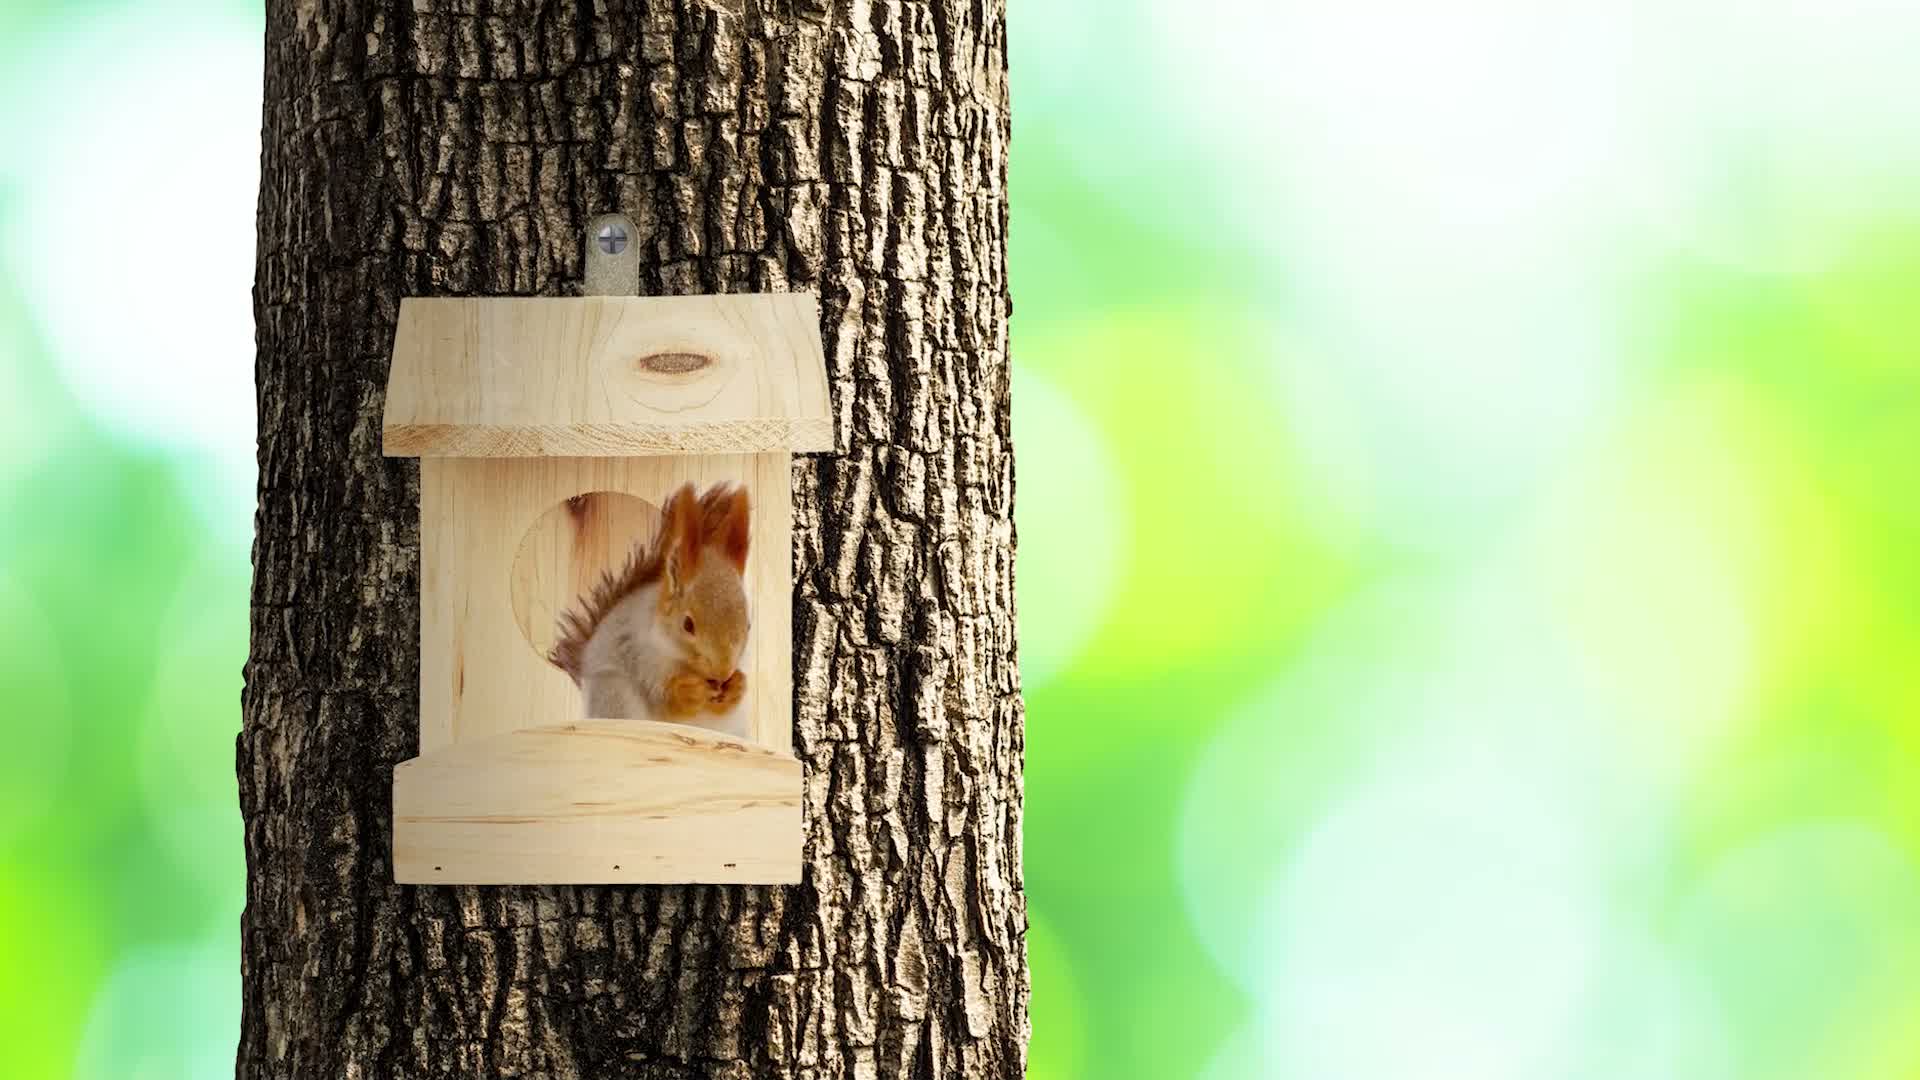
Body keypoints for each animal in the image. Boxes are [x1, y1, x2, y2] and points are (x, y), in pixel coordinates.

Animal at [548, 482, 752, 733]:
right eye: (687, 625)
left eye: (748, 626)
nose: (723, 673)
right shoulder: (636, 652)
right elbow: (660, 698)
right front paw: (687, 692)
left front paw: (737, 685)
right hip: (615, 693)